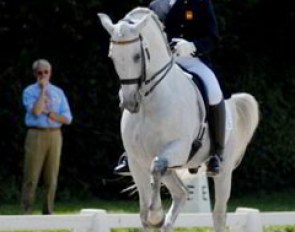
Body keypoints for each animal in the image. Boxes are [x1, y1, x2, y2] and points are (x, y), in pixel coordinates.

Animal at [99, 7, 260, 232]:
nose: (130, 102)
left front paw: (156, 214)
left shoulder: (177, 148)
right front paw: (155, 217)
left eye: (137, 56)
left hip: (224, 169)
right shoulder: (136, 160)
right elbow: (143, 213)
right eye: (112, 56)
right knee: (181, 193)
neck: (149, 102)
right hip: (171, 167)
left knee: (218, 213)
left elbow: (156, 167)